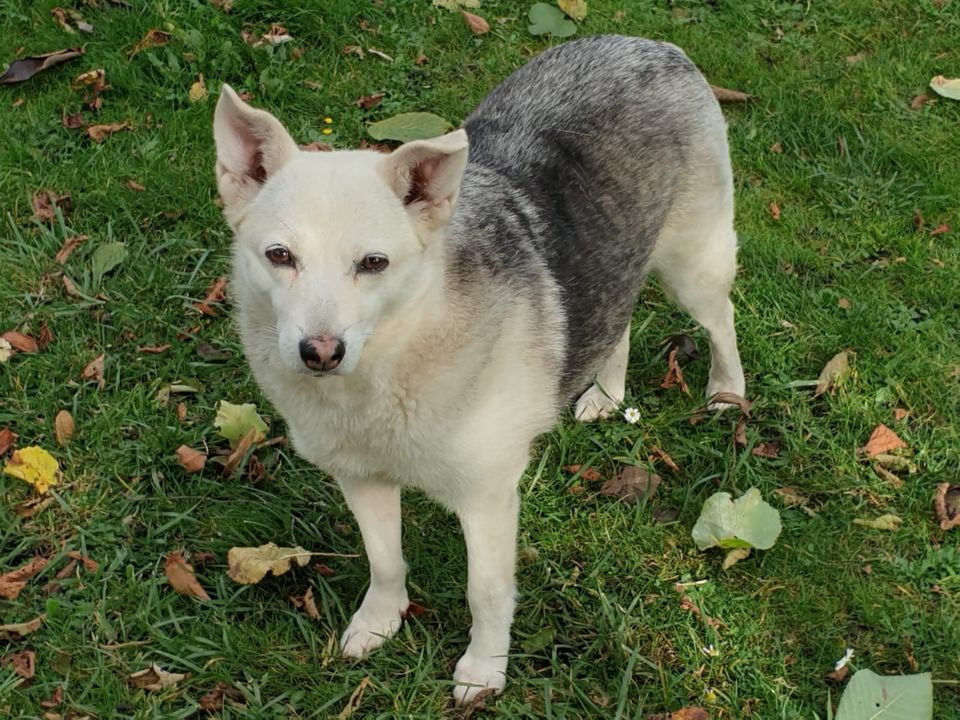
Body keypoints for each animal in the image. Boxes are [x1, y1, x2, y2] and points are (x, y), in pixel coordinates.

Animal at [214, 35, 748, 704]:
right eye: (280, 256)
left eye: (373, 263)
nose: (320, 352)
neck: (392, 365)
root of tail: (649, 42)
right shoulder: (360, 479)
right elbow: (385, 561)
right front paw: (380, 621)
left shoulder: (488, 496)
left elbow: (486, 592)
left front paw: (484, 669)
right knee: (619, 316)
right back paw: (605, 390)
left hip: (692, 265)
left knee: (721, 319)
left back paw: (727, 391)